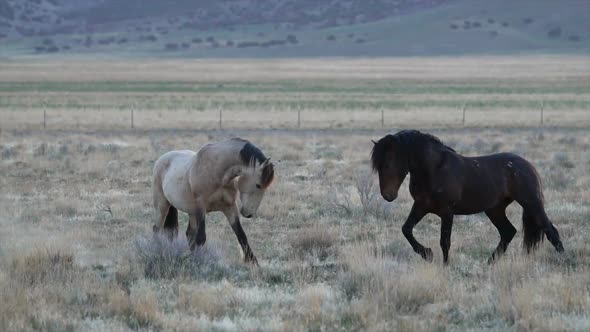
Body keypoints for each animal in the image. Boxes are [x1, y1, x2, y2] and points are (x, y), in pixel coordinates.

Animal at [372, 130, 568, 264]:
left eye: (388, 164)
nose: (388, 196)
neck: (434, 169)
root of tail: (528, 166)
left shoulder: (446, 212)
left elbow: (445, 242)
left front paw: (445, 266)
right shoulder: (421, 206)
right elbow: (406, 229)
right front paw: (427, 253)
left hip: (531, 203)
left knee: (551, 231)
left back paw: (565, 260)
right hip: (495, 210)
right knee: (508, 232)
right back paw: (489, 263)